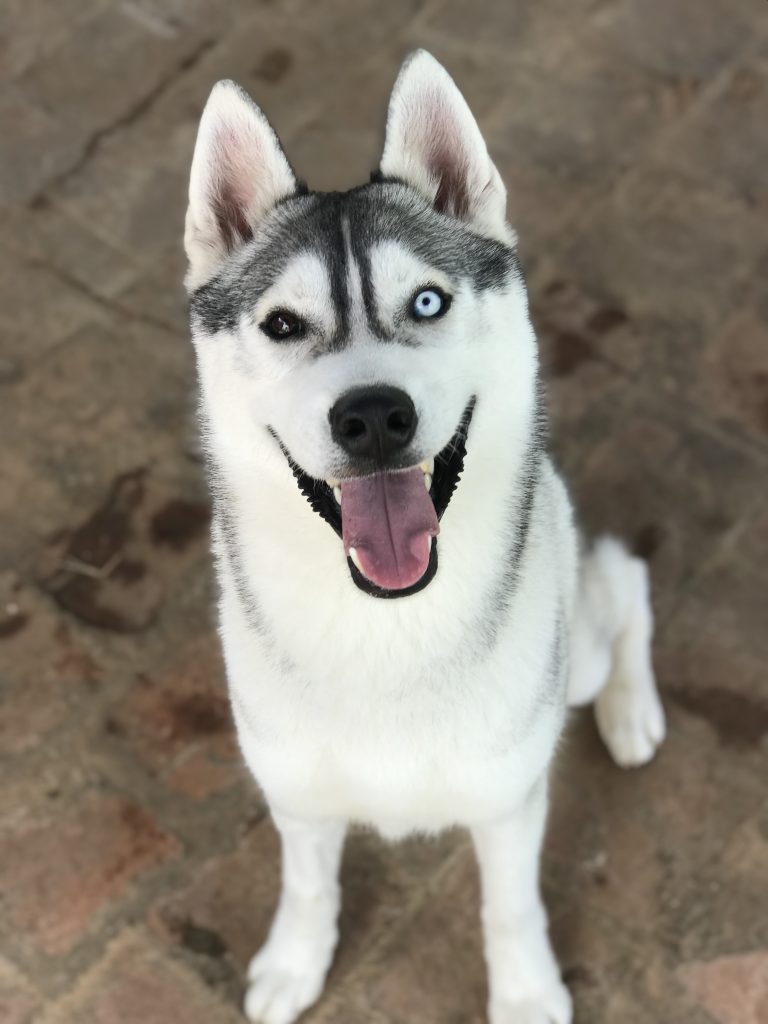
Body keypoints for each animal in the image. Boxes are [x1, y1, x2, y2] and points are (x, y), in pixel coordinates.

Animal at [183, 51, 663, 1024]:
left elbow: (510, 906)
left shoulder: (510, 798)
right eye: (282, 324)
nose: (372, 416)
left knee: (626, 584)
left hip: (577, 657)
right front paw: (297, 961)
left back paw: (633, 711)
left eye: (429, 300)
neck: (386, 623)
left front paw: (525, 993)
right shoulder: (296, 793)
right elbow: (308, 884)